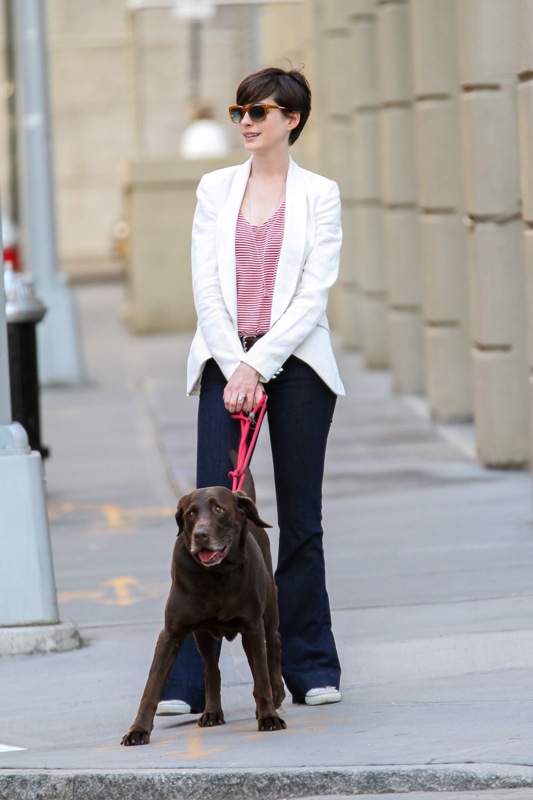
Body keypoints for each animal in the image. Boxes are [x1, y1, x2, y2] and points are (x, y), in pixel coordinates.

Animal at [121, 485, 286, 745]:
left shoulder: (252, 627)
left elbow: (261, 678)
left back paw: (276, 691)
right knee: (211, 669)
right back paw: (212, 711)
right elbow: (151, 687)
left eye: (218, 509)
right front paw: (138, 729)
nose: (200, 535)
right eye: (190, 513)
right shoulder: (171, 633)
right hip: (203, 636)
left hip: (268, 610)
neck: (216, 575)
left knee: (273, 645)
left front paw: (268, 716)